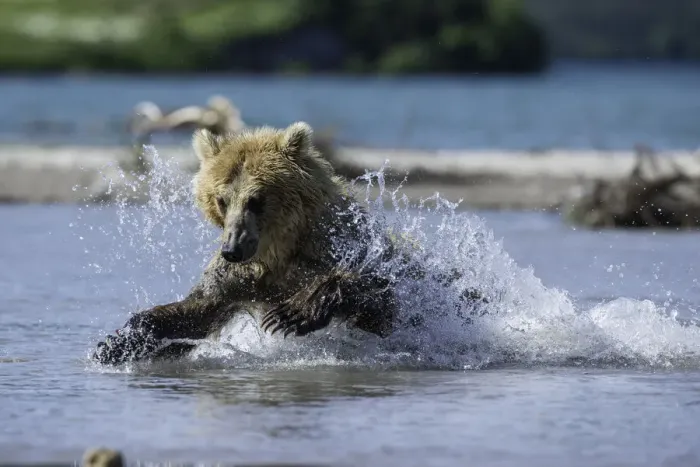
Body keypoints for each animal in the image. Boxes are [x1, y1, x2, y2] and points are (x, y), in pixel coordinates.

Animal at [92, 121, 487, 365]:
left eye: (256, 199)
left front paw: (289, 315)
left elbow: (379, 299)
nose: (232, 249)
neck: (277, 251)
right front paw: (114, 343)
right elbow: (197, 308)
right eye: (221, 198)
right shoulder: (242, 278)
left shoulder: (339, 250)